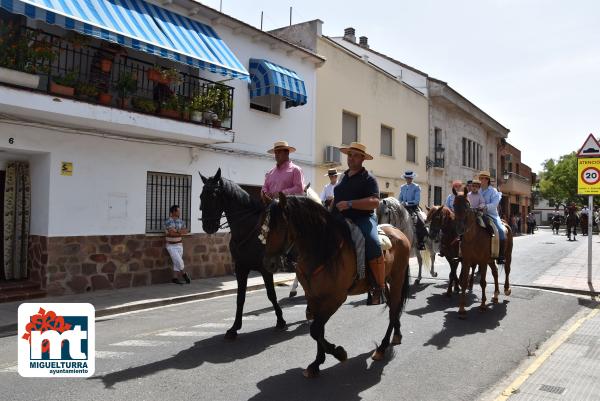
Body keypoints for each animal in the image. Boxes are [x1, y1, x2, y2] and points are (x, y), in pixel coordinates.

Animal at [199, 167, 286, 340]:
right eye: (201, 196)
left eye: (213, 196)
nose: (207, 226)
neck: (250, 229)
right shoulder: (241, 267)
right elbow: (240, 298)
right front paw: (234, 328)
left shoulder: (266, 268)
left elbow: (271, 294)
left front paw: (280, 320)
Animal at [262, 194, 412, 378]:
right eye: (266, 226)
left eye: (282, 225)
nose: (268, 264)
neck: (324, 251)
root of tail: (399, 233)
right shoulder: (313, 297)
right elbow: (318, 330)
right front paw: (316, 363)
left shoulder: (335, 298)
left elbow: (315, 329)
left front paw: (339, 353)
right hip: (386, 282)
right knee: (393, 306)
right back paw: (397, 335)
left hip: (397, 279)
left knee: (393, 310)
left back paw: (382, 348)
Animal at [452, 188, 512, 316]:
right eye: (454, 205)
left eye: (466, 205)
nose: (460, 228)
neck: (473, 237)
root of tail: (505, 223)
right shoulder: (467, 261)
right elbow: (464, 282)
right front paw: (462, 308)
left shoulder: (482, 261)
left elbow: (483, 282)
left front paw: (483, 305)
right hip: (491, 260)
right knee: (495, 273)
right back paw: (495, 295)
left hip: (507, 255)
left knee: (507, 270)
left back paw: (506, 289)